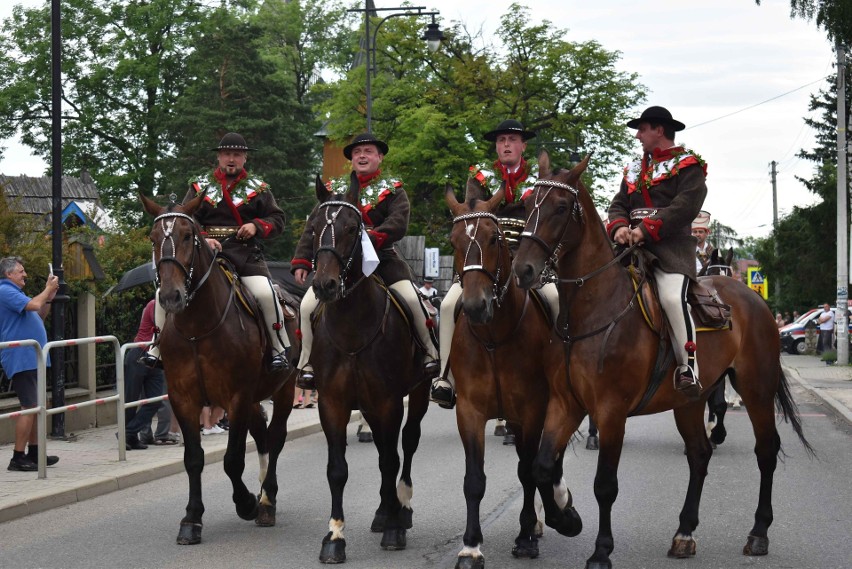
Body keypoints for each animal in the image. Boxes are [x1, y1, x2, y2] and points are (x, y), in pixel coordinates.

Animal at [141, 193, 298, 544]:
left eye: (189, 235)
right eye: (153, 238)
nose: (170, 296)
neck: (197, 327)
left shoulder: (237, 397)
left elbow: (232, 460)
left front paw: (247, 502)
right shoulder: (183, 398)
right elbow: (193, 459)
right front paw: (192, 519)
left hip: (285, 387)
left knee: (275, 437)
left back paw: (266, 502)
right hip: (255, 397)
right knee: (263, 435)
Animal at [304, 173, 430, 564]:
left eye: (352, 228)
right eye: (313, 227)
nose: (325, 285)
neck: (353, 327)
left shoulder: (389, 401)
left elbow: (391, 459)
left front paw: (394, 528)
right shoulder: (333, 403)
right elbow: (337, 470)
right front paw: (334, 536)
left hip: (417, 394)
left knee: (407, 444)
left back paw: (401, 509)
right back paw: (383, 511)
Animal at [442, 181, 584, 568]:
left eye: (494, 239)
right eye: (453, 241)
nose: (476, 306)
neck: (494, 337)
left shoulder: (531, 412)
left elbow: (528, 471)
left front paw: (525, 537)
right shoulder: (469, 412)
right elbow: (474, 478)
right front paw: (471, 546)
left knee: (545, 461)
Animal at [510, 153, 816, 568]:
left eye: (560, 207)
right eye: (527, 207)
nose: (522, 270)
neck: (591, 310)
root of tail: (752, 298)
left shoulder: (611, 412)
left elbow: (605, 485)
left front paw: (601, 551)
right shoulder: (566, 403)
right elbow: (542, 467)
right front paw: (566, 517)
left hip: (756, 389)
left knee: (766, 451)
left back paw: (758, 532)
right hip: (689, 402)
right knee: (700, 455)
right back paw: (684, 532)